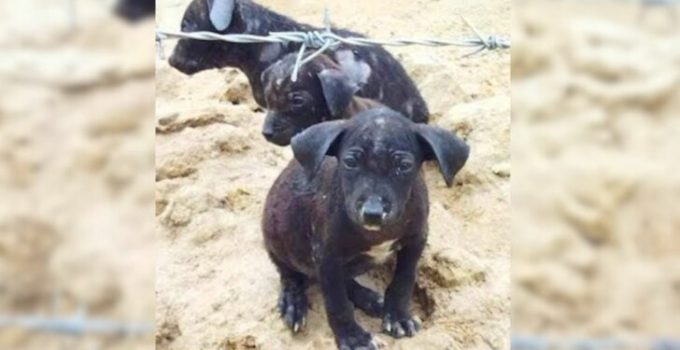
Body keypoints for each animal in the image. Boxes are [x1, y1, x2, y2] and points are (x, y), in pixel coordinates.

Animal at [262, 109, 470, 350]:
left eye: (404, 165)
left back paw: (370, 299)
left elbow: (404, 280)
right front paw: (353, 338)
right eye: (350, 162)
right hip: (277, 239)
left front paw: (398, 317)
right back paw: (294, 303)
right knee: (290, 274)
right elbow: (337, 302)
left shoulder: (417, 238)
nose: (373, 213)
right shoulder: (326, 255)